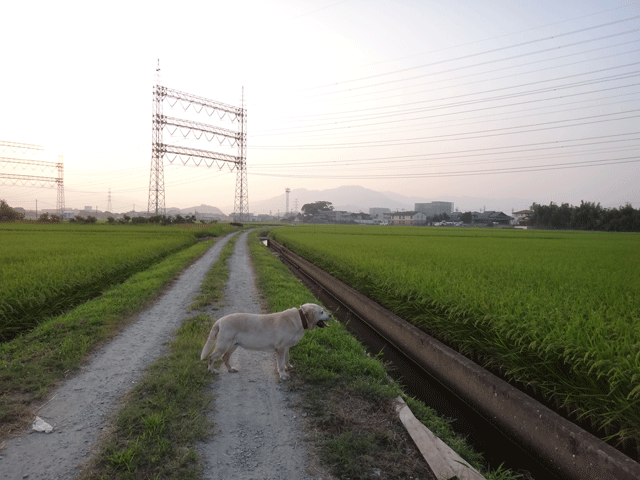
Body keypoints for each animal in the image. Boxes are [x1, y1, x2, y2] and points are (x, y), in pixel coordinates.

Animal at [200, 304, 330, 378]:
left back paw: (230, 369)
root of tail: (220, 320)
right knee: (211, 357)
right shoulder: (280, 348)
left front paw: (289, 367)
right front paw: (283, 375)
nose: (330, 315)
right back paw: (212, 371)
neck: (300, 318)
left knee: (224, 357)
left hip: (233, 345)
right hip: (224, 345)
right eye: (322, 312)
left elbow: (287, 359)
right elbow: (280, 364)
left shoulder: (286, 347)